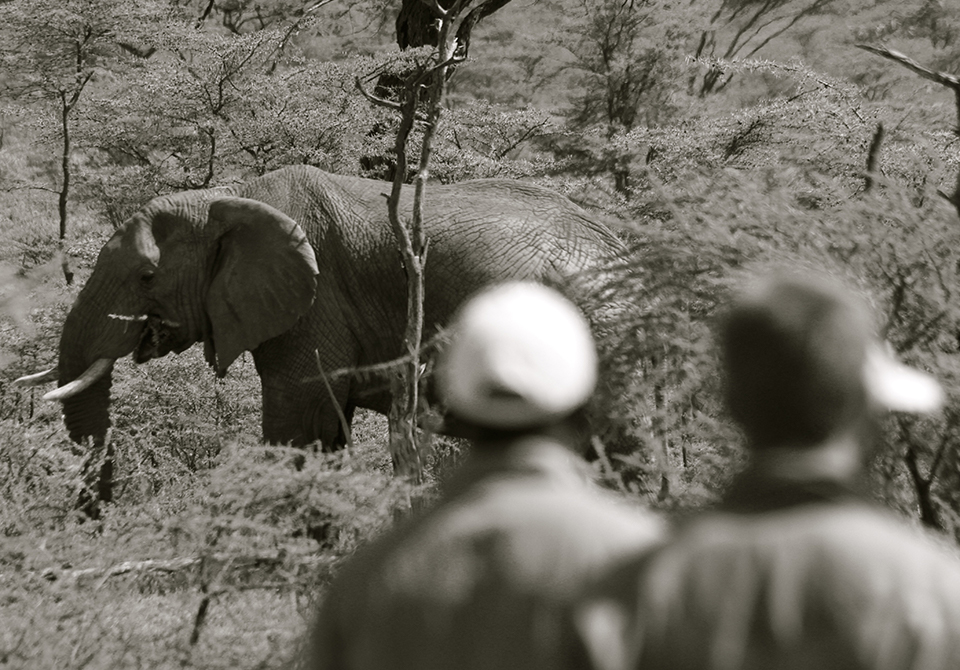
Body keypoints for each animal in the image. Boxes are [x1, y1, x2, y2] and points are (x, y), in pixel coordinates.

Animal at [18, 164, 628, 504]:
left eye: (147, 277)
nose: (97, 522)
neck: (224, 197)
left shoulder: (314, 302)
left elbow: (296, 423)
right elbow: (325, 433)